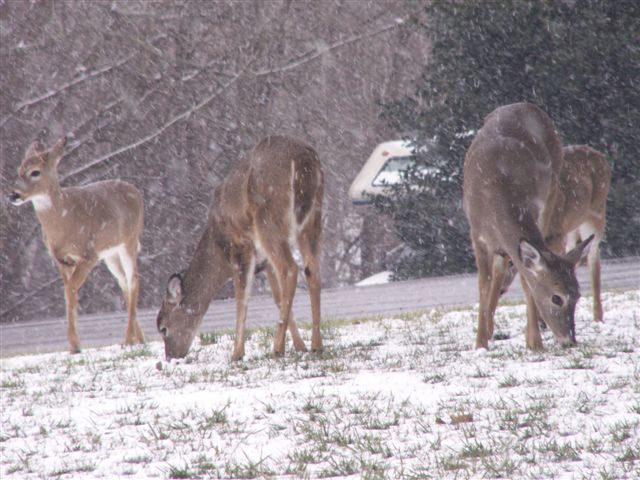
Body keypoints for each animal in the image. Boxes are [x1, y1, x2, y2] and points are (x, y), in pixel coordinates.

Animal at [9, 137, 145, 354]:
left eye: (35, 172)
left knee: (134, 279)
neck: (64, 221)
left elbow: (71, 290)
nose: (14, 195)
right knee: (123, 282)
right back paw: (139, 338)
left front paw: (75, 345)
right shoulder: (61, 260)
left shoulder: (89, 255)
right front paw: (74, 346)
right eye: (19, 170)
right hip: (110, 253)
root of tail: (135, 191)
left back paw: (128, 340)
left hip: (129, 241)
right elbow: (69, 293)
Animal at [156, 135, 324, 360]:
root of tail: (303, 159)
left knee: (289, 268)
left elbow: (242, 297)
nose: (171, 357)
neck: (217, 242)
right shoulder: (264, 262)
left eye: (163, 329)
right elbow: (277, 297)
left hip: (267, 219)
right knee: (311, 269)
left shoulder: (239, 247)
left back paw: (277, 348)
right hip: (313, 217)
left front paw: (237, 352)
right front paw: (300, 346)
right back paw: (316, 344)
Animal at [460, 102, 596, 348]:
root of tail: (526, 105)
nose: (569, 340)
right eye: (556, 298)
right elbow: (484, 283)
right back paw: (491, 329)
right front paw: (480, 342)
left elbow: (526, 280)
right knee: (500, 269)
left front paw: (534, 342)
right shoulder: (476, 234)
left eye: (579, 295)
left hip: (552, 190)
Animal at [500, 143, 608, 322]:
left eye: (511, 263)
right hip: (572, 227)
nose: (500, 289)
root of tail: (598, 154)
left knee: (594, 257)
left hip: (596, 215)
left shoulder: (556, 235)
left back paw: (598, 316)